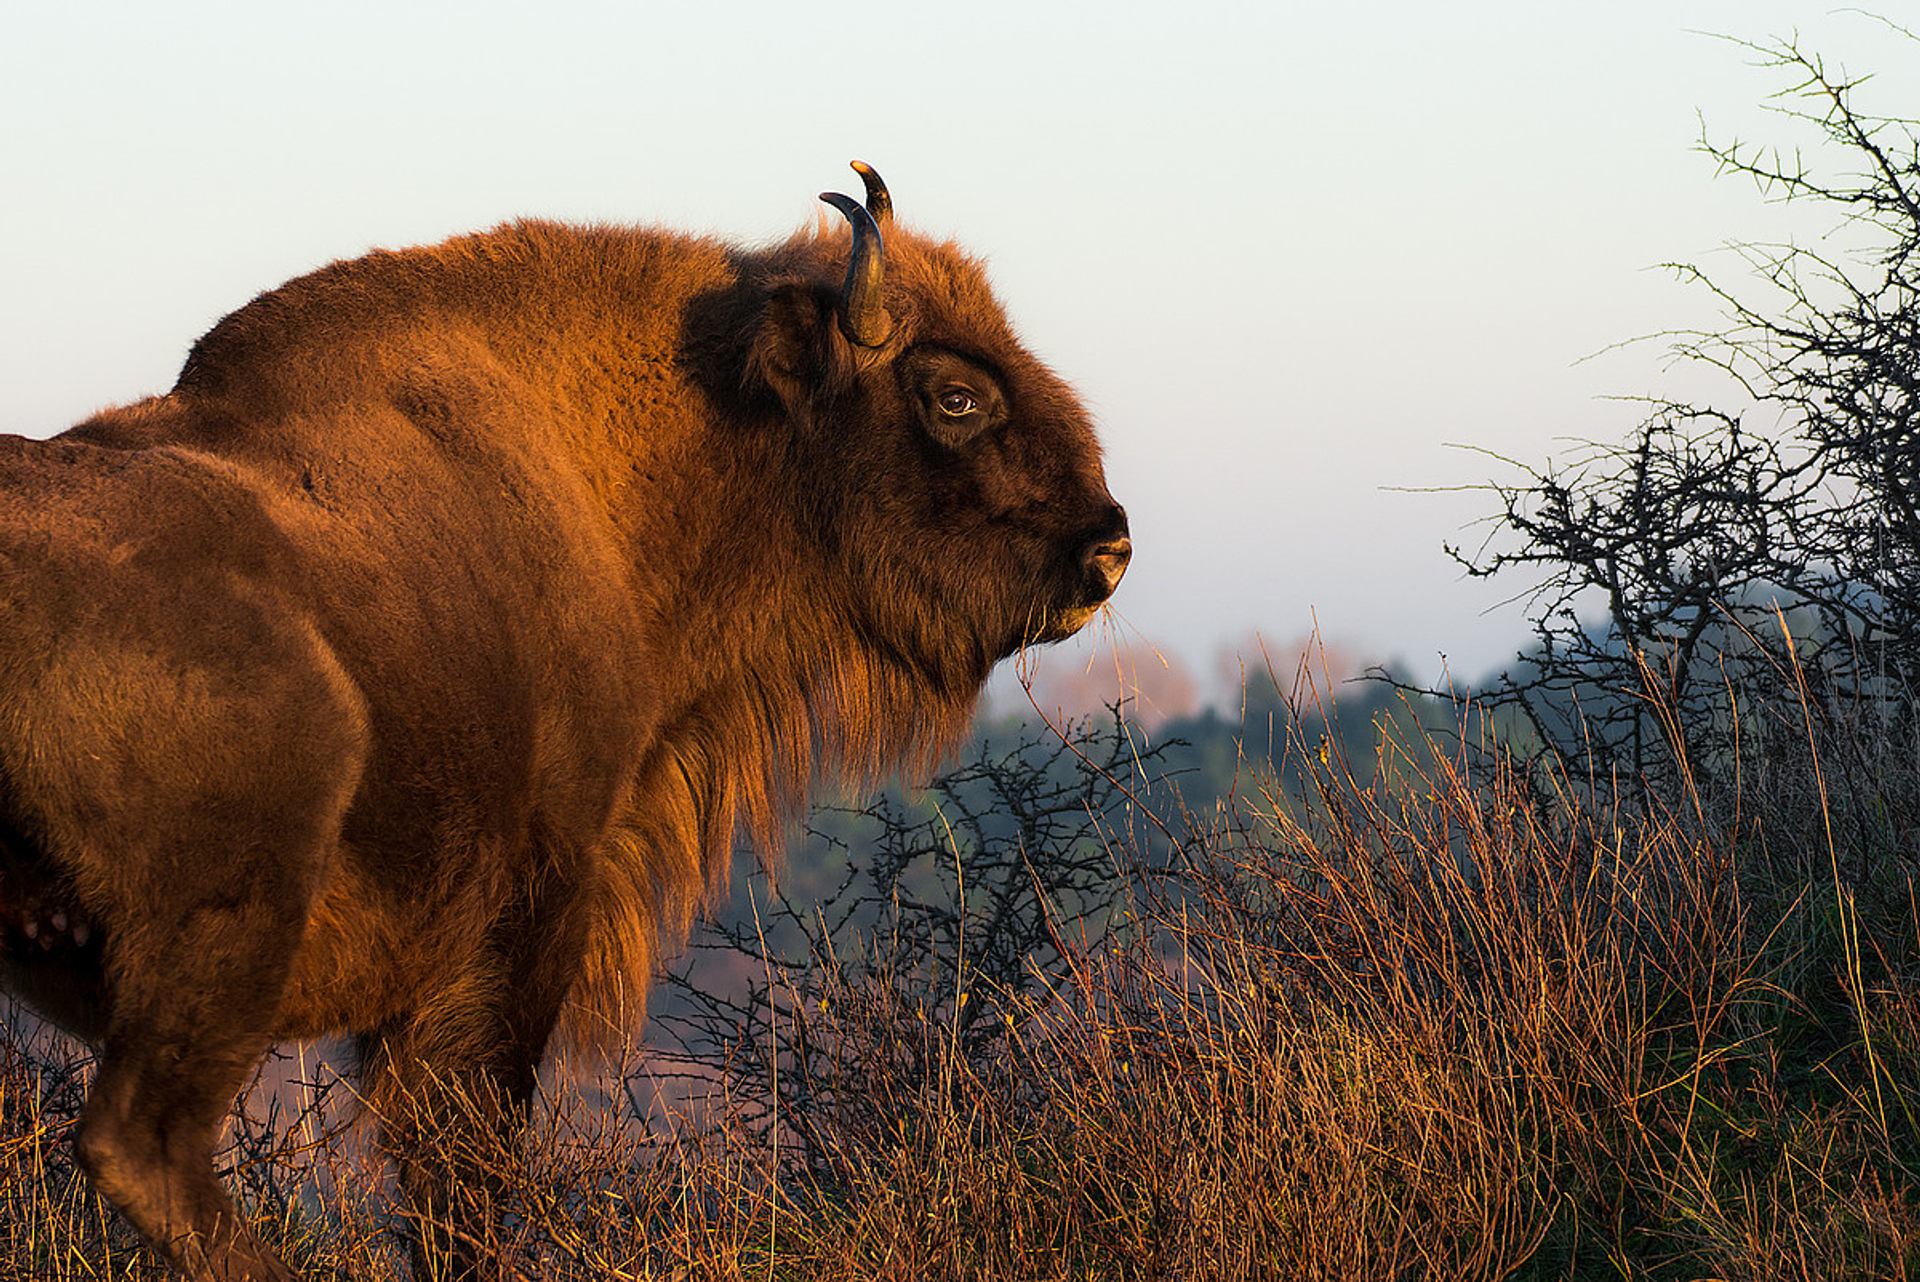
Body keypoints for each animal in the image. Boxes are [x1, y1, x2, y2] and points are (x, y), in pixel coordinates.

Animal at [0, 163, 1121, 1282]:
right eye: (954, 395)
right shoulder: (531, 907)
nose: (1107, 549)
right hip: (228, 933)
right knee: (145, 1146)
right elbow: (463, 1163)